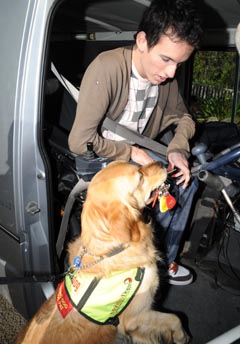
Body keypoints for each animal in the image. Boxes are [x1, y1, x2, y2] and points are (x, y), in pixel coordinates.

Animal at [15, 161, 189, 344]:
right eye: (140, 176)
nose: (163, 163)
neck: (112, 250)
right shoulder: (136, 317)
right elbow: (174, 318)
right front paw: (181, 336)